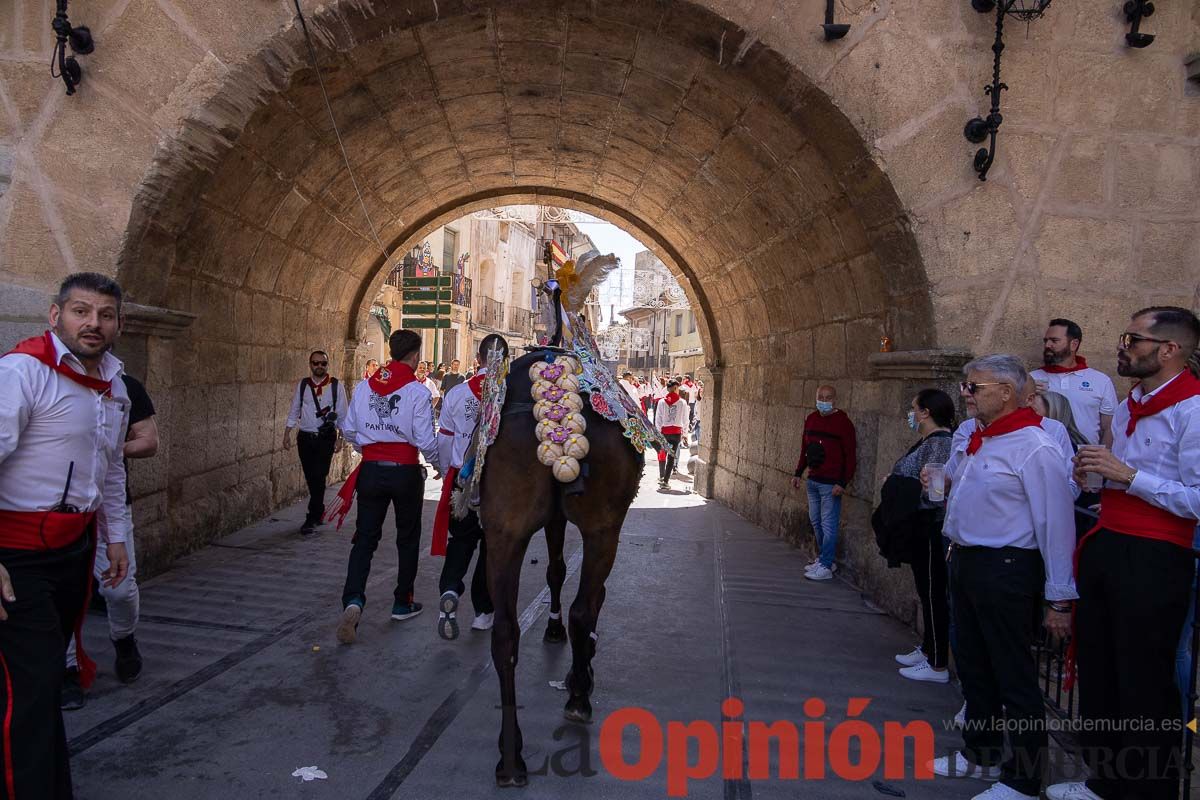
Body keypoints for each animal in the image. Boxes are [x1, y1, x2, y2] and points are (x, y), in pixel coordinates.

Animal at [453, 251, 672, 786]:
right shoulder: (595, 527)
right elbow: (575, 591)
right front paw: (578, 668)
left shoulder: (546, 523)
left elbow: (553, 570)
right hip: (602, 529)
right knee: (584, 608)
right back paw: (576, 693)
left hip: (506, 532)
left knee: (507, 633)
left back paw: (510, 755)